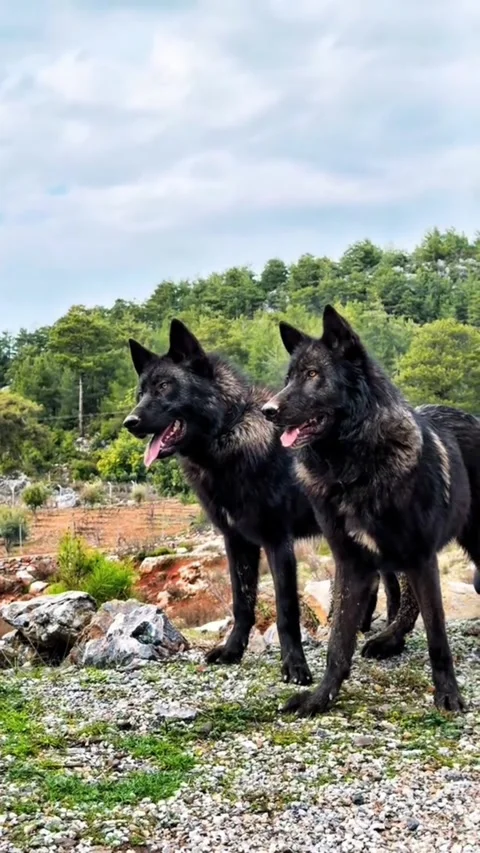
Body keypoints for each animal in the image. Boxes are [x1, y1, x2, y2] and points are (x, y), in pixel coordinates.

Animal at [123, 320, 401, 685]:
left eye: (165, 386)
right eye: (141, 393)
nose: (129, 422)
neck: (229, 431)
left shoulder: (277, 543)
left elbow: (286, 611)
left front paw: (295, 665)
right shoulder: (237, 542)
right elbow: (243, 602)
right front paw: (232, 651)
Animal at [262, 305, 480, 716]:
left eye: (313, 375)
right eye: (288, 378)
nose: (267, 410)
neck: (355, 468)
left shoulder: (421, 557)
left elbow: (438, 635)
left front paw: (448, 694)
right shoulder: (352, 564)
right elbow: (338, 642)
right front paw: (321, 697)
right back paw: (389, 640)